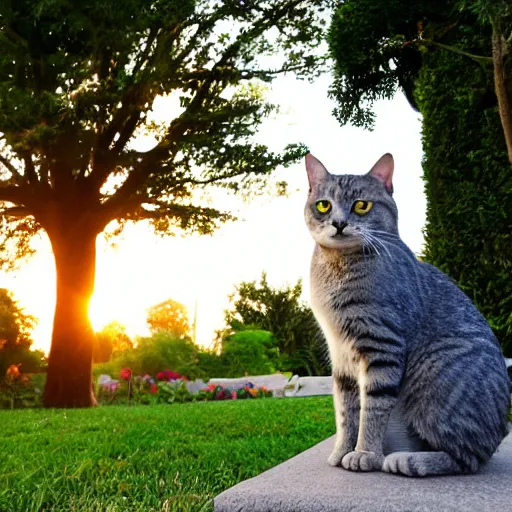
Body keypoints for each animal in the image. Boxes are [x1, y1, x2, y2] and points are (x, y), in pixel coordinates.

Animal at [304, 152, 508, 476]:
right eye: (323, 205)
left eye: (361, 205)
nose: (338, 223)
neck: (339, 266)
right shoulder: (340, 355)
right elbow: (346, 411)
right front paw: (343, 449)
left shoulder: (381, 345)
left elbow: (372, 410)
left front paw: (365, 453)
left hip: (435, 380)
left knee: (469, 459)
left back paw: (407, 459)